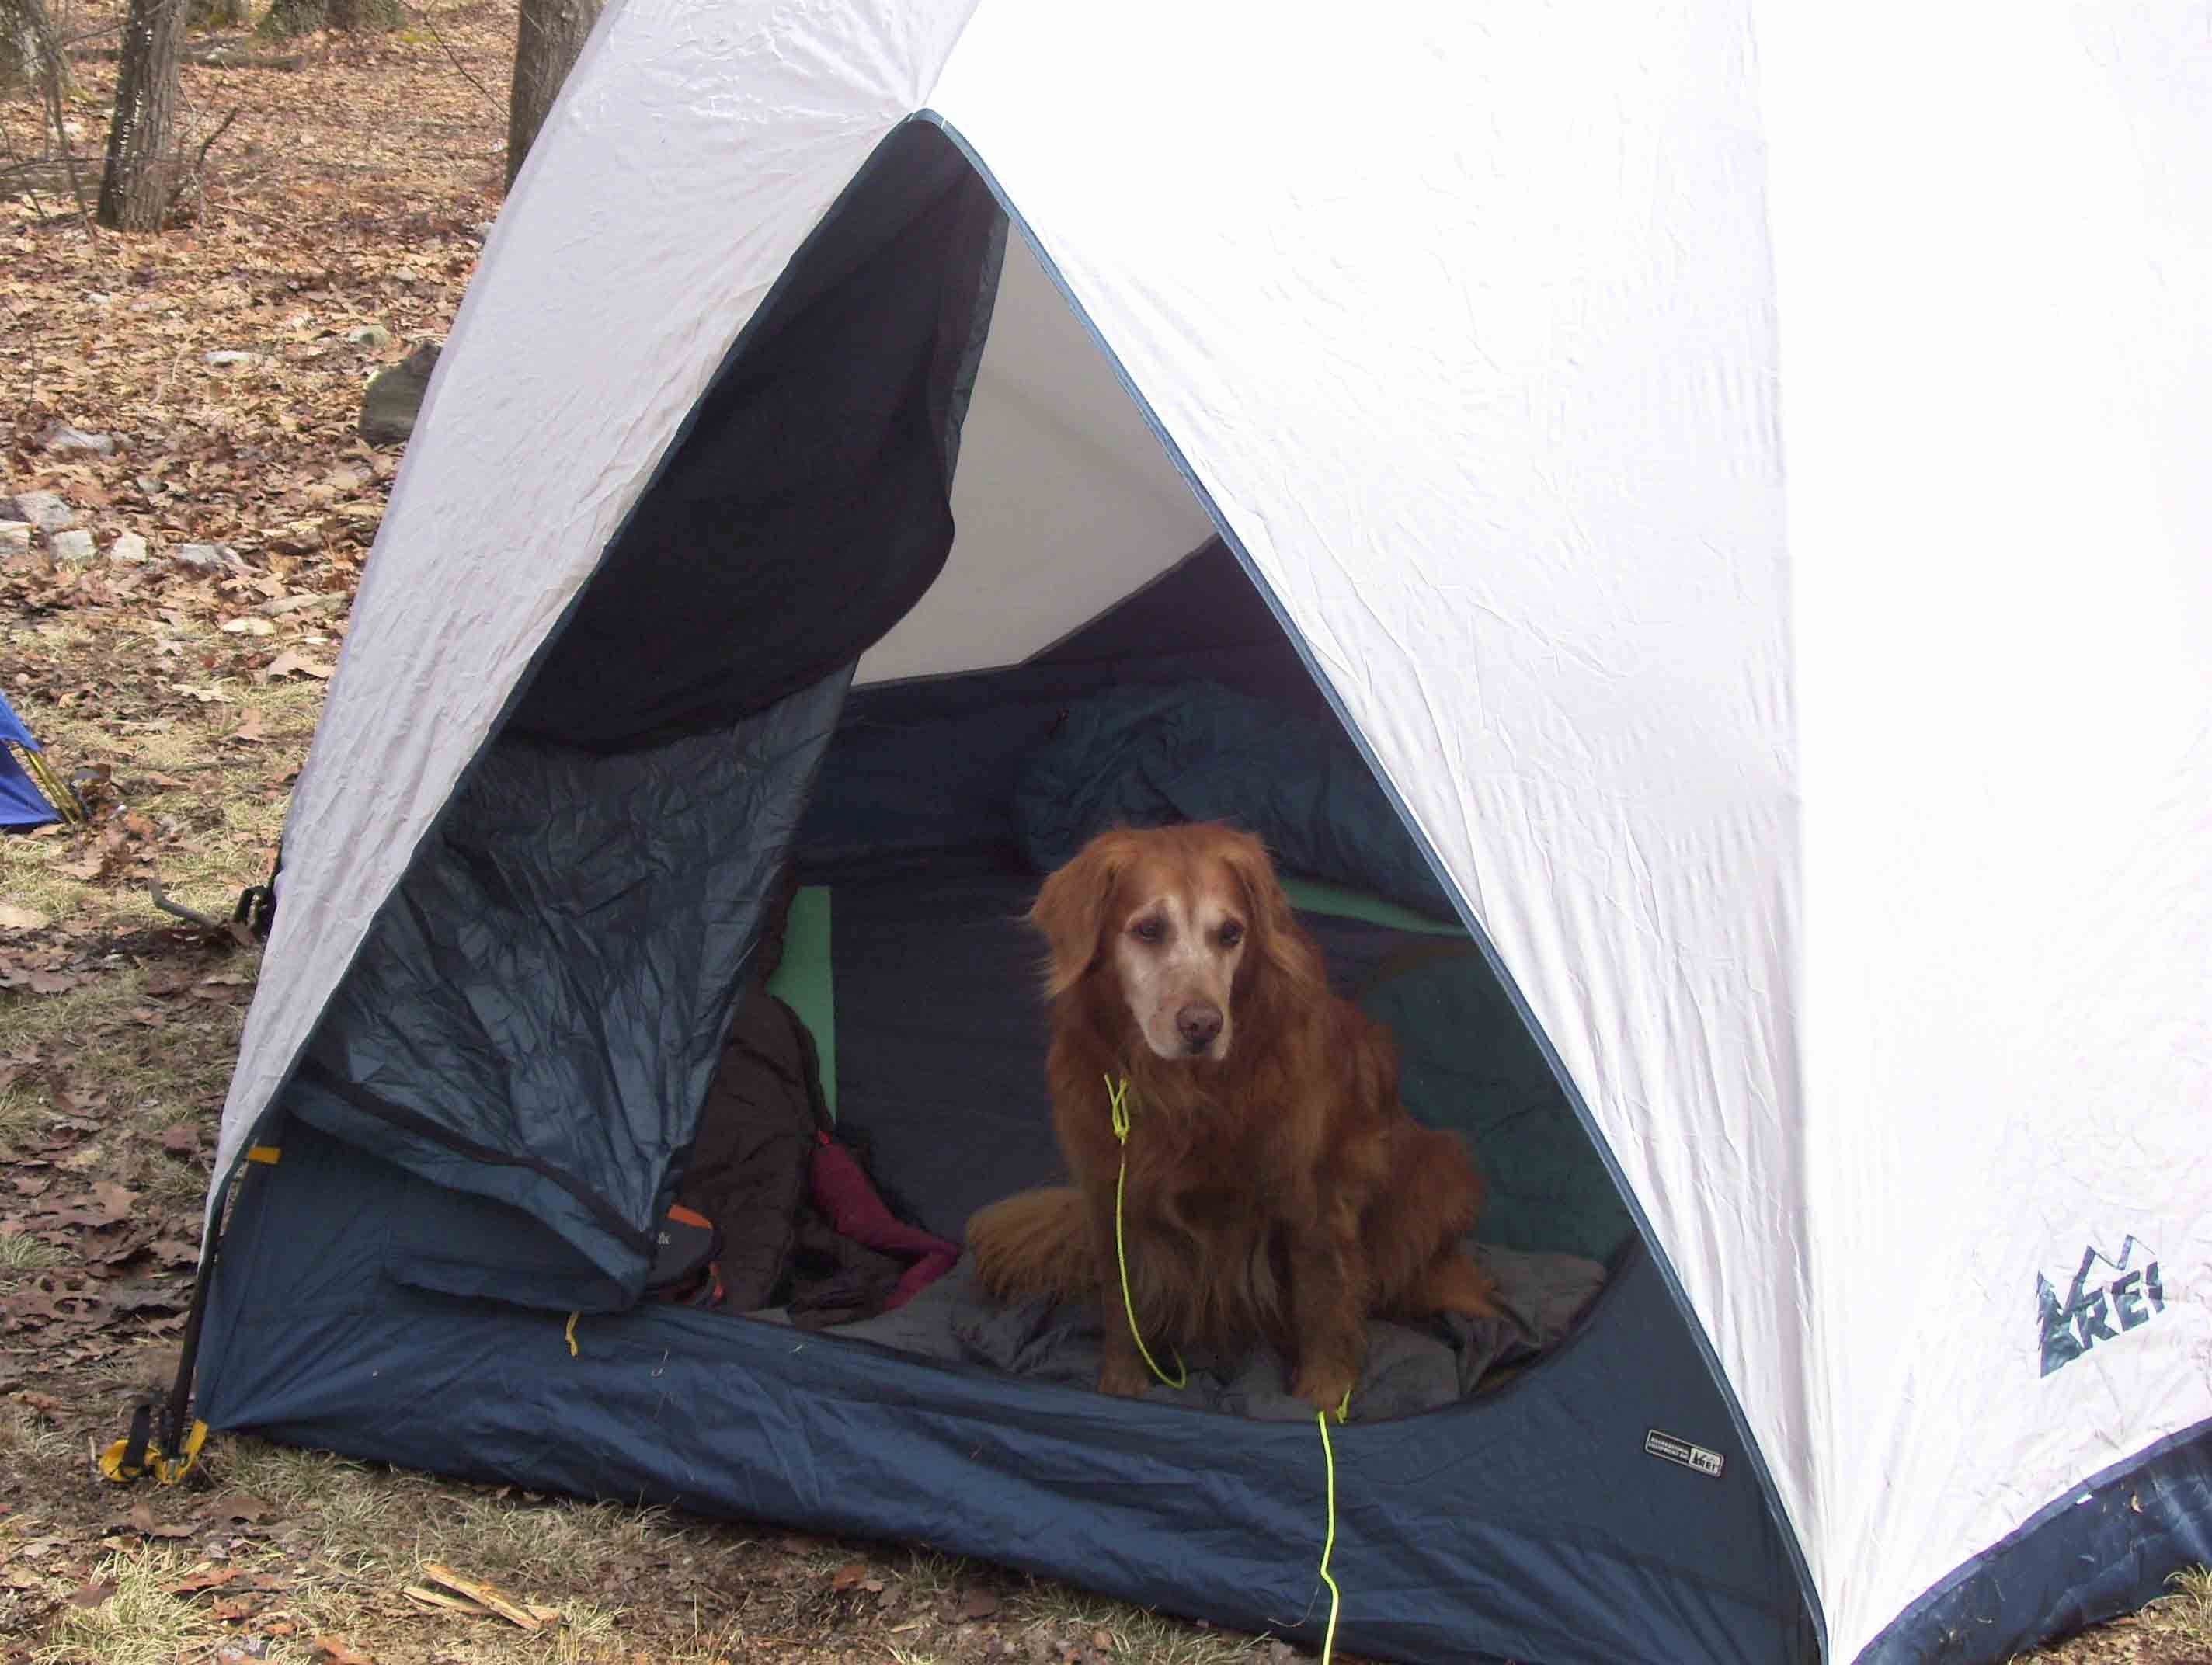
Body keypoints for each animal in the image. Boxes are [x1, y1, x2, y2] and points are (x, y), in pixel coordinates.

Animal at [964, 826, 1495, 1406]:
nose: (1202, 1025)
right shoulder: (1108, 1190)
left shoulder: (1312, 1195)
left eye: (1230, 934)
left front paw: (1323, 1394)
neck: (1182, 1092)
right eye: (1149, 929)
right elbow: (1120, 1302)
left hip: (1441, 1167)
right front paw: (1121, 1382)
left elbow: (1321, 1299)